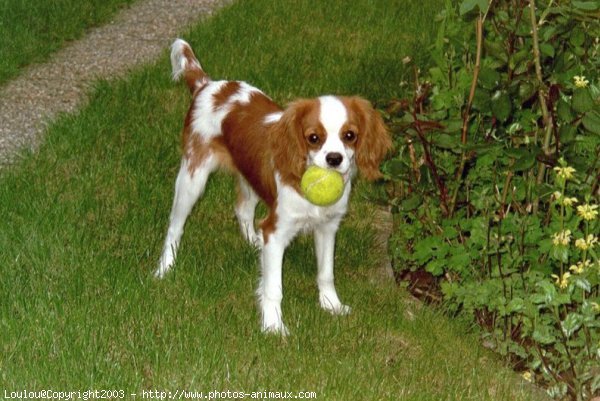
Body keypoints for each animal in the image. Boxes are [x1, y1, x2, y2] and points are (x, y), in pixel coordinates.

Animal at [157, 39, 392, 332]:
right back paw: (165, 267)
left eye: (350, 135)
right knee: (175, 226)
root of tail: (207, 84)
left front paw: (332, 306)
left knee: (242, 209)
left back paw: (254, 242)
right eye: (313, 138)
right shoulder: (277, 230)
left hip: (249, 174)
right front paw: (273, 326)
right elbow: (273, 287)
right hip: (193, 176)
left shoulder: (328, 226)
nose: (334, 158)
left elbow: (326, 273)